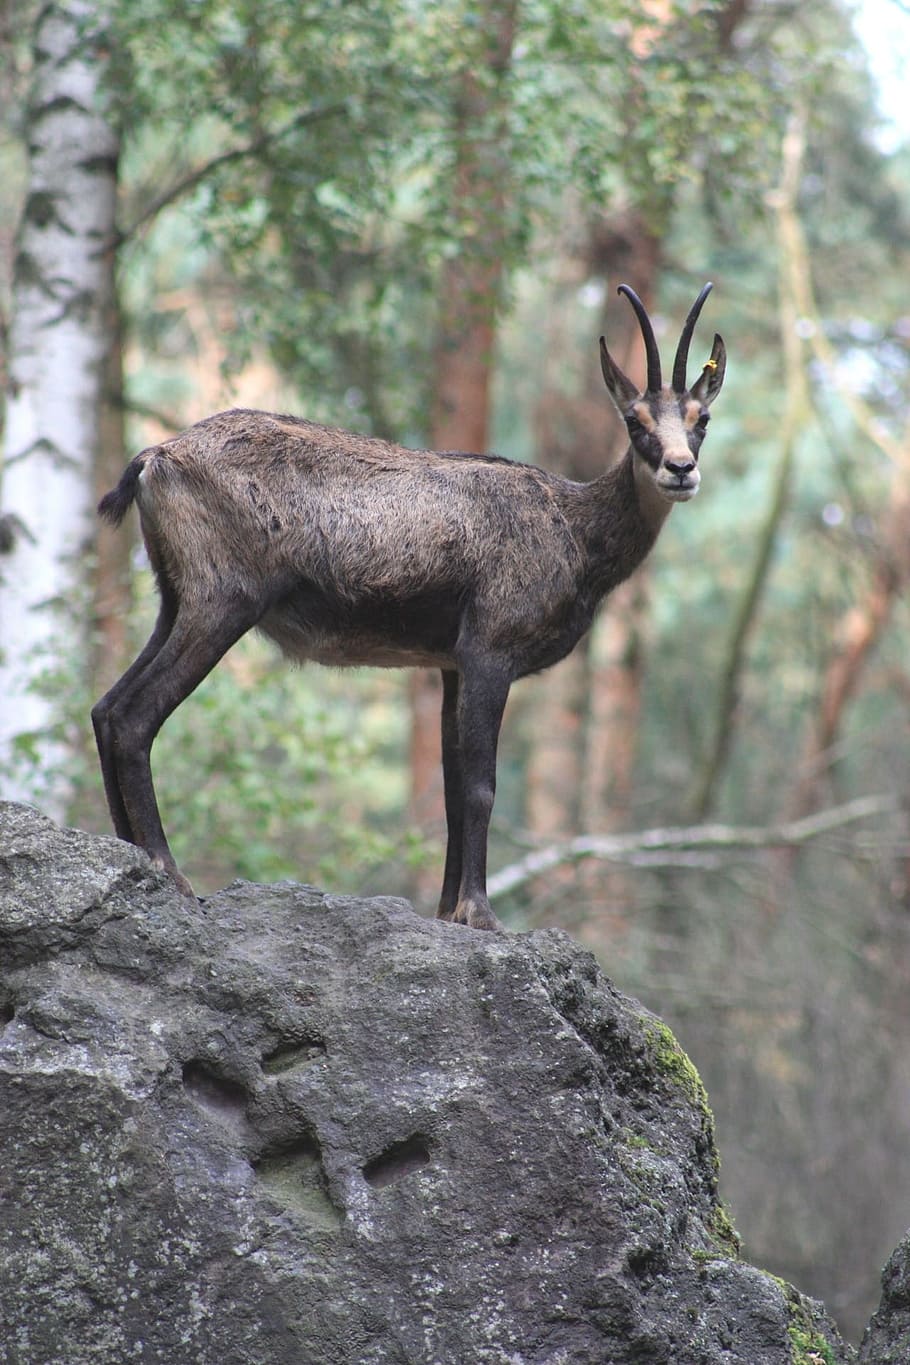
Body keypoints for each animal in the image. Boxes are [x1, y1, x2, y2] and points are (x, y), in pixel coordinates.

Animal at [92, 282, 725, 931]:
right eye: (634, 420)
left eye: (701, 419)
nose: (680, 469)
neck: (574, 529)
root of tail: (155, 457)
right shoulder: (489, 649)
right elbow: (479, 786)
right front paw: (481, 913)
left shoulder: (449, 664)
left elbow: (450, 789)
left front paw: (447, 911)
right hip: (222, 600)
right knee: (136, 715)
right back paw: (169, 869)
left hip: (174, 599)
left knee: (106, 708)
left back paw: (132, 857)